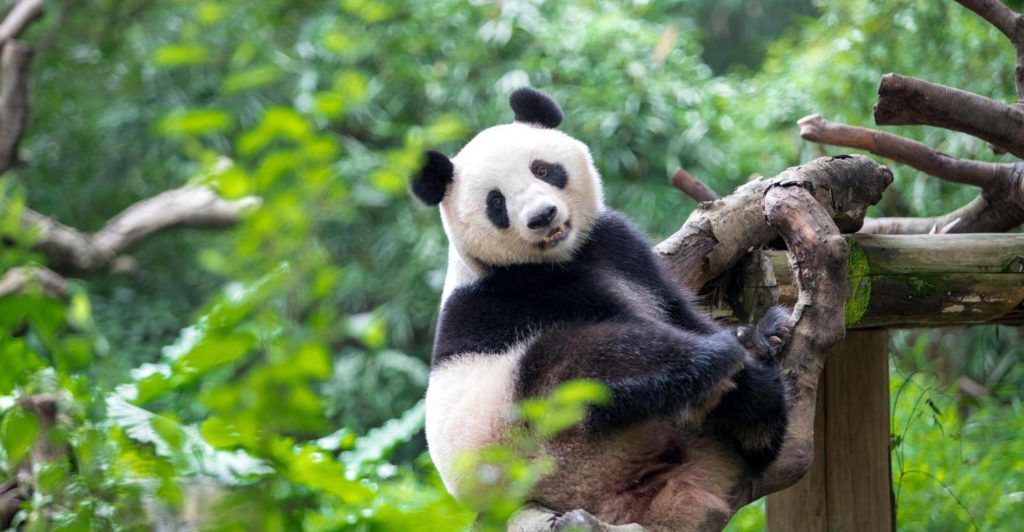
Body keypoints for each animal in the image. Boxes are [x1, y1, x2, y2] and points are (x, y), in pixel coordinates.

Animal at [413, 87, 789, 531]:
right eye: (496, 203)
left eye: (543, 170)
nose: (542, 216)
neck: (560, 256)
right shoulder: (528, 290)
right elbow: (633, 325)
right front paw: (738, 351)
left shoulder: (618, 245)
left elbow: (674, 308)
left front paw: (763, 332)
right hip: (533, 436)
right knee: (582, 360)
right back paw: (726, 369)